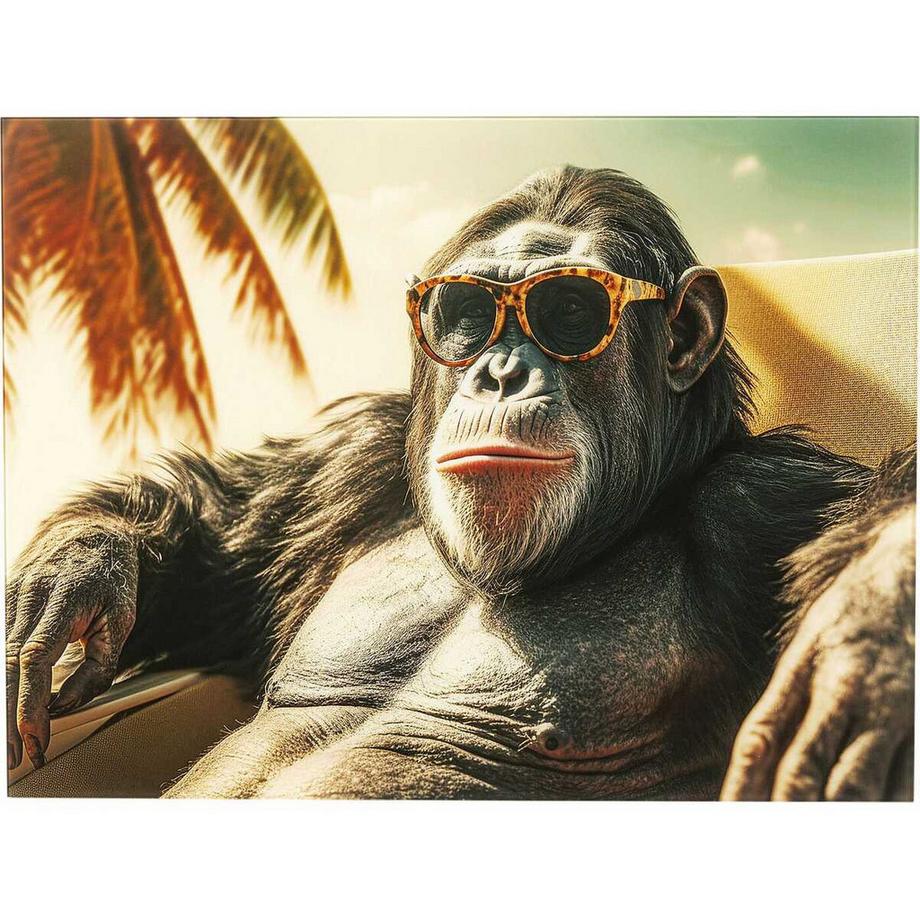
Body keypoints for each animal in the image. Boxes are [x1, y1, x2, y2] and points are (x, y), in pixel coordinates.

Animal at [5, 166, 915, 799]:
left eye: (570, 312)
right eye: (464, 315)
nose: (499, 371)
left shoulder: (768, 505)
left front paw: (866, 633)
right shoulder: (353, 465)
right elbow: (224, 547)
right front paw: (75, 571)